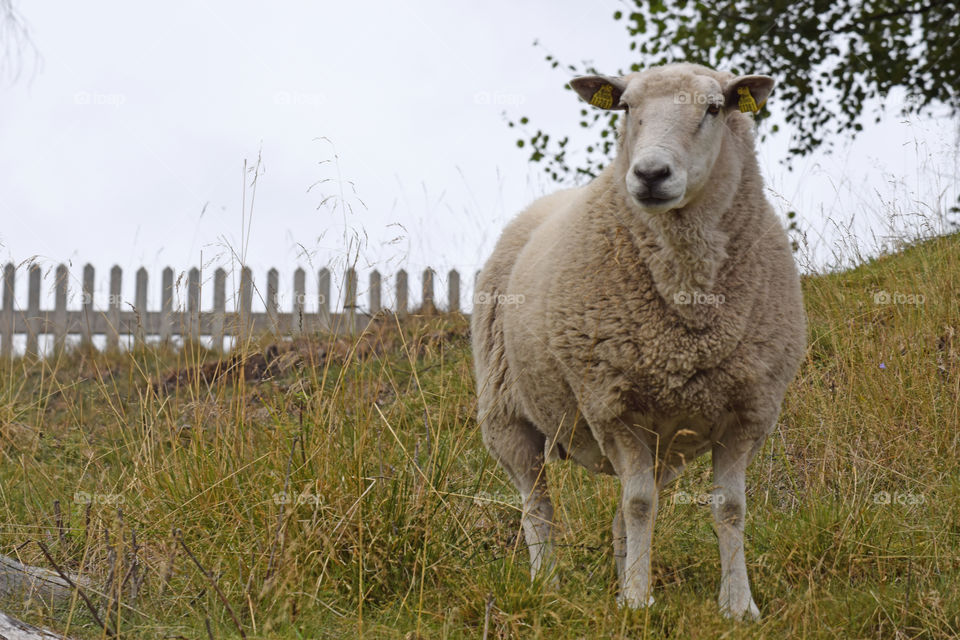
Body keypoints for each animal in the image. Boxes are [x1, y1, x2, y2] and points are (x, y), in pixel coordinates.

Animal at [470, 62, 806, 620]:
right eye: (625, 107)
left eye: (715, 108)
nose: (650, 174)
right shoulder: (614, 405)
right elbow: (639, 504)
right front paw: (636, 601)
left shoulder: (748, 411)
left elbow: (729, 509)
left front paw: (738, 605)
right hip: (506, 413)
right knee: (537, 505)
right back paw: (548, 585)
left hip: (668, 445)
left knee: (618, 511)